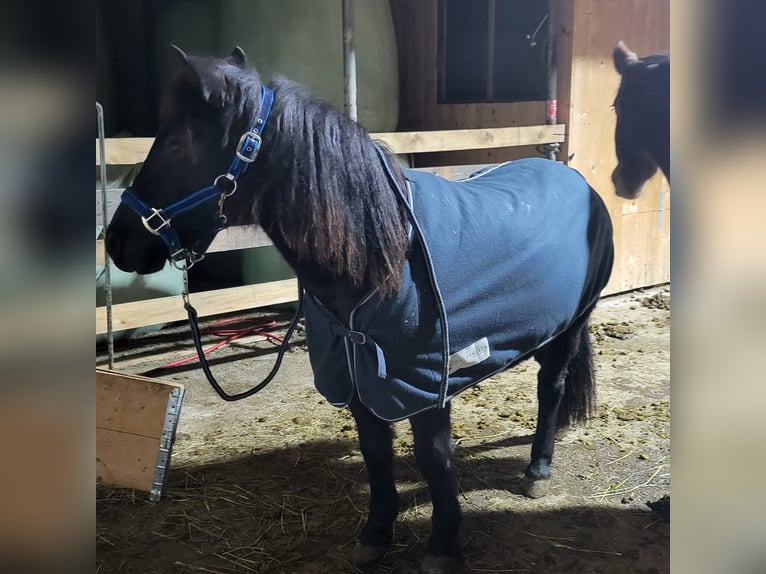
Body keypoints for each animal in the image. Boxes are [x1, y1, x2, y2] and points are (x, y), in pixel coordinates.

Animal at [103, 47, 616, 572]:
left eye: (177, 145)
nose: (116, 241)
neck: (385, 257)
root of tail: (573, 177)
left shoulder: (425, 386)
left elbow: (434, 460)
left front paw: (443, 545)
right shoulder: (357, 379)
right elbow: (375, 455)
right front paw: (376, 533)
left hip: (570, 327)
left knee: (551, 387)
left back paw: (537, 470)